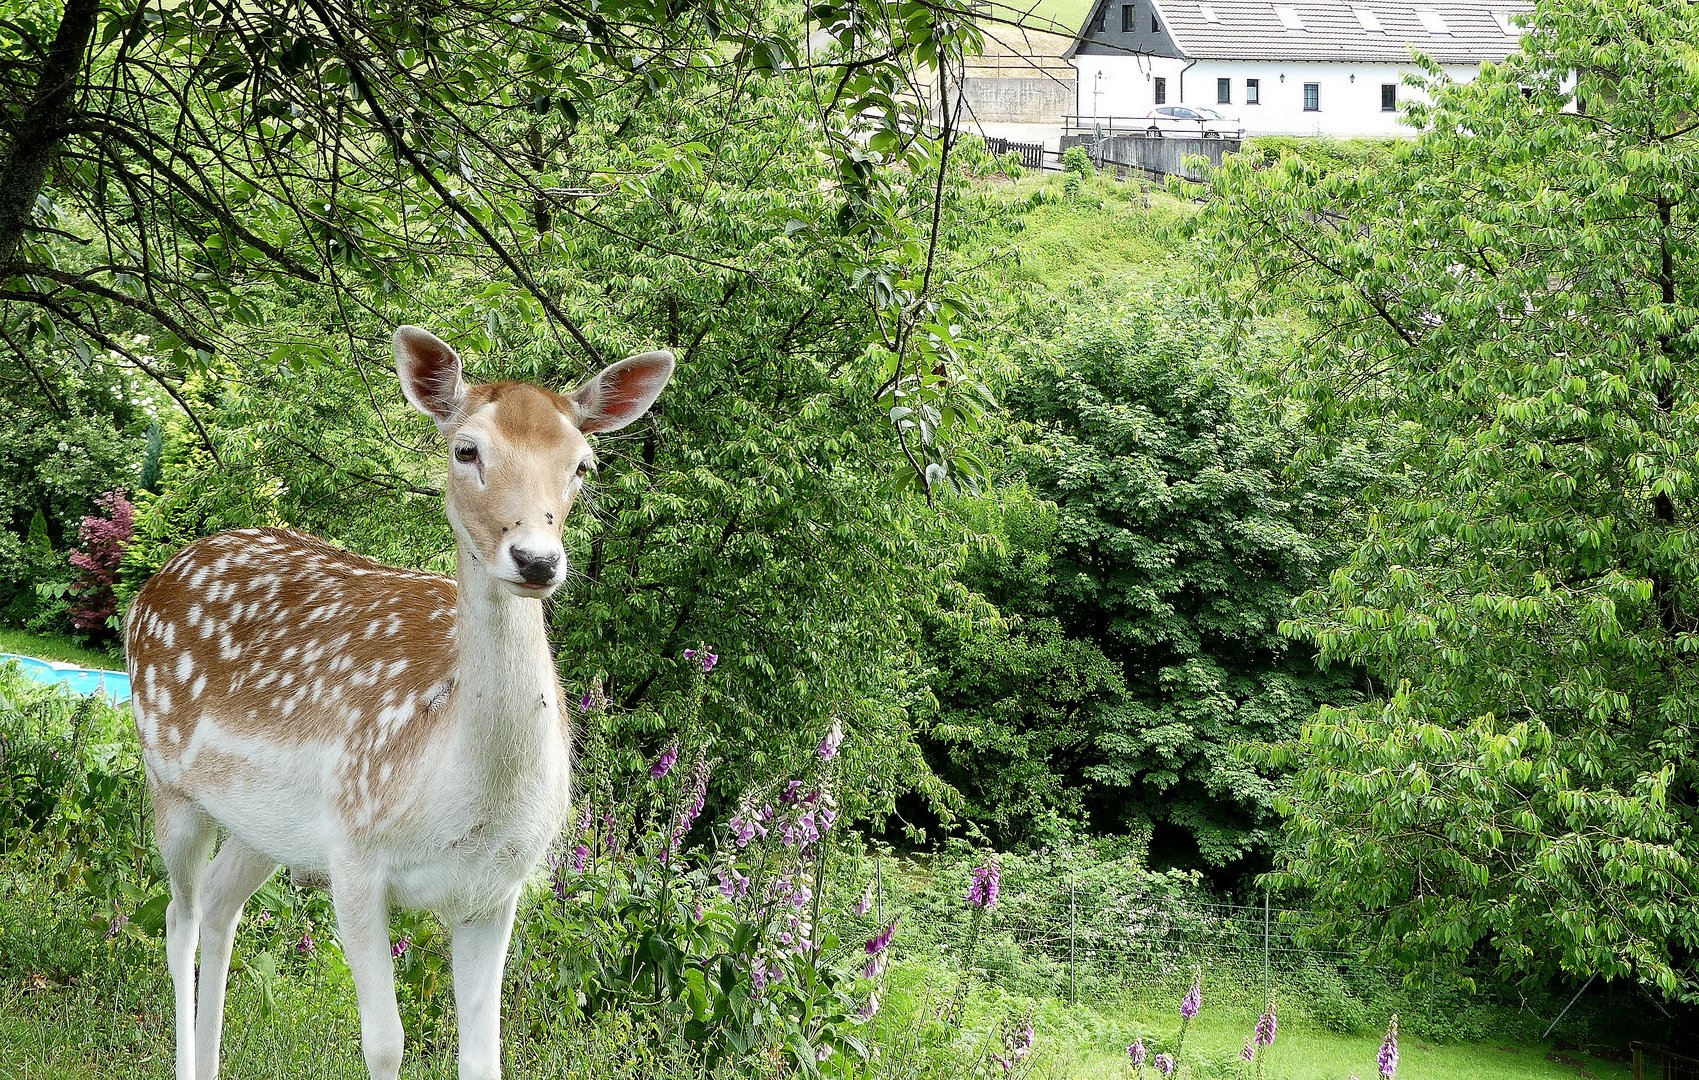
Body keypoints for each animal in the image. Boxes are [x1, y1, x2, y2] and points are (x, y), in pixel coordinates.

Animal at [125, 329, 672, 1080]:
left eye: (582, 464)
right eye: (466, 449)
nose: (536, 560)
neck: (461, 796)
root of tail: (149, 587)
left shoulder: (495, 890)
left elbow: (484, 1056)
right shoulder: (355, 853)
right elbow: (385, 1043)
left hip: (265, 825)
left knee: (218, 903)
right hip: (170, 780)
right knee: (177, 920)